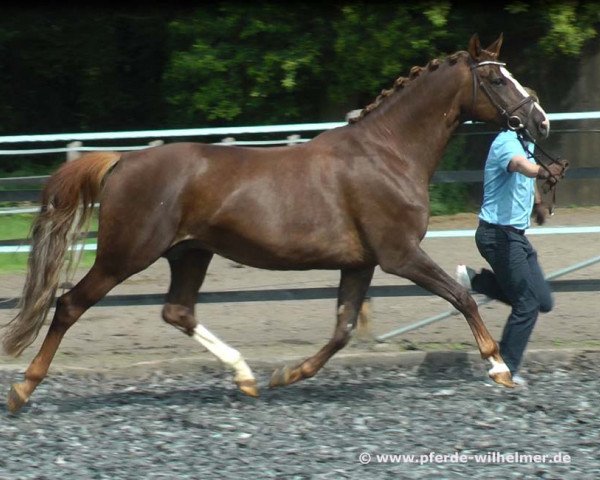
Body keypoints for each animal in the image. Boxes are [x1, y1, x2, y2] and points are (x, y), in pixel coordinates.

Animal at [3, 33, 548, 410]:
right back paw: (23, 389)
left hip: (191, 252)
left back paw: (246, 377)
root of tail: (122, 161)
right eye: (496, 80)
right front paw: (499, 368)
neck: (387, 153)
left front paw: (286, 374)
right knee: (69, 304)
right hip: (126, 255)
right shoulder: (400, 255)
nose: (539, 120)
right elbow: (459, 297)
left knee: (177, 311)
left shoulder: (361, 263)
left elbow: (343, 328)